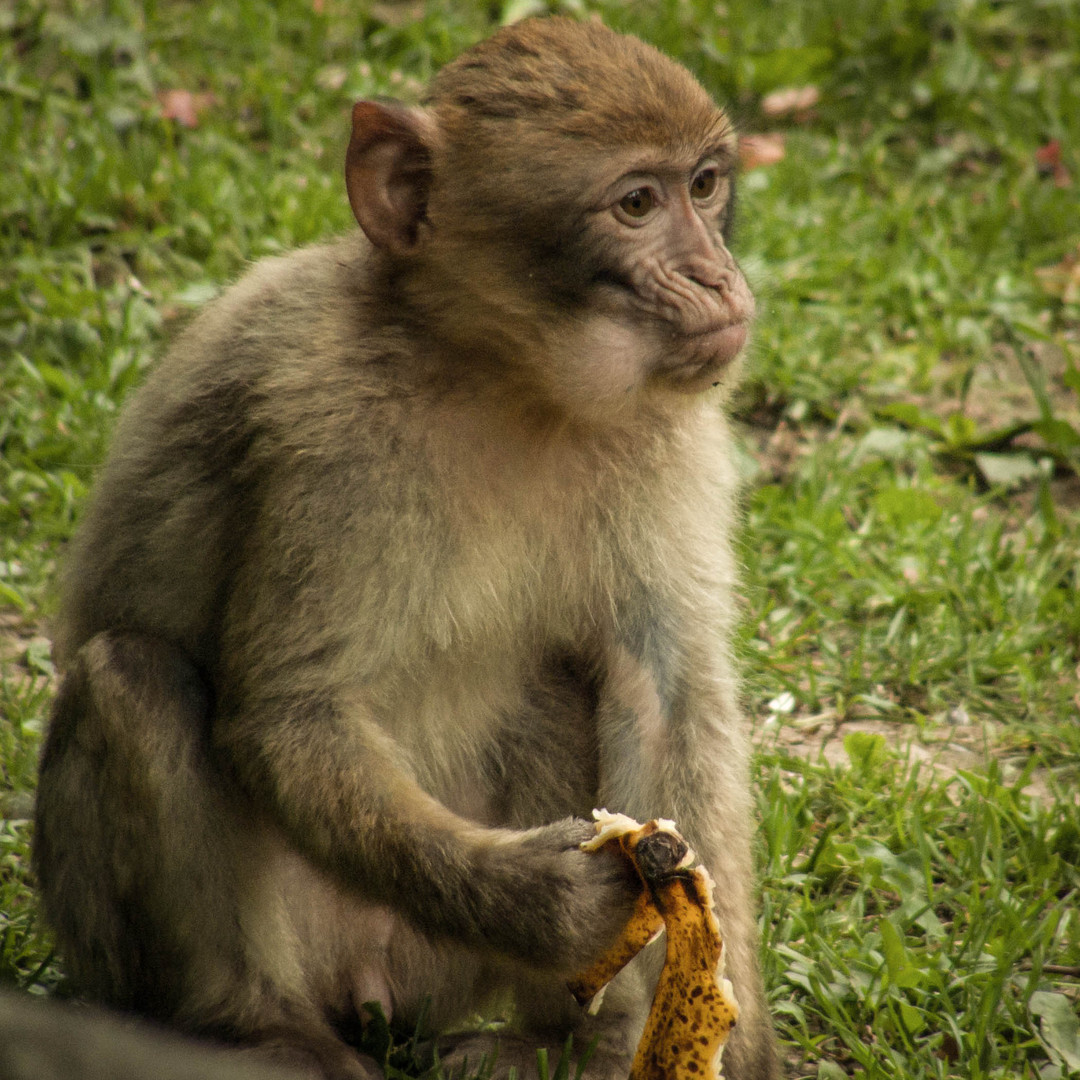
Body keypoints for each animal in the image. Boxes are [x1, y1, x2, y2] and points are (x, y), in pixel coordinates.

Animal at [33, 14, 777, 1080]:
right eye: (637, 203)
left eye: (706, 186)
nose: (716, 276)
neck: (505, 379)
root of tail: (367, 986)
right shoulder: (326, 432)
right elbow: (291, 714)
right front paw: (546, 906)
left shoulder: (667, 436)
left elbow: (665, 693)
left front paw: (724, 1039)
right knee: (131, 680)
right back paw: (255, 1029)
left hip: (439, 971)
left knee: (562, 679)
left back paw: (561, 1041)